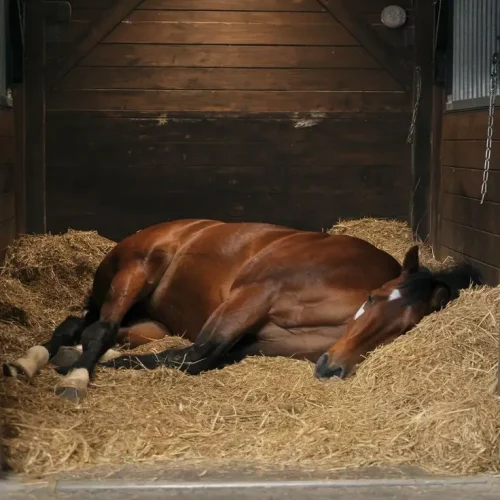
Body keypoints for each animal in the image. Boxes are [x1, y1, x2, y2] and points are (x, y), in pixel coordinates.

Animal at [3, 217, 480, 400]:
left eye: (404, 327)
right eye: (374, 299)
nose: (331, 366)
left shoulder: (259, 342)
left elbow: (191, 358)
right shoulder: (254, 295)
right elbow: (198, 354)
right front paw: (83, 368)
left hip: (150, 320)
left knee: (80, 326)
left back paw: (34, 362)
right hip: (135, 275)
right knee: (97, 328)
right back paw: (71, 378)